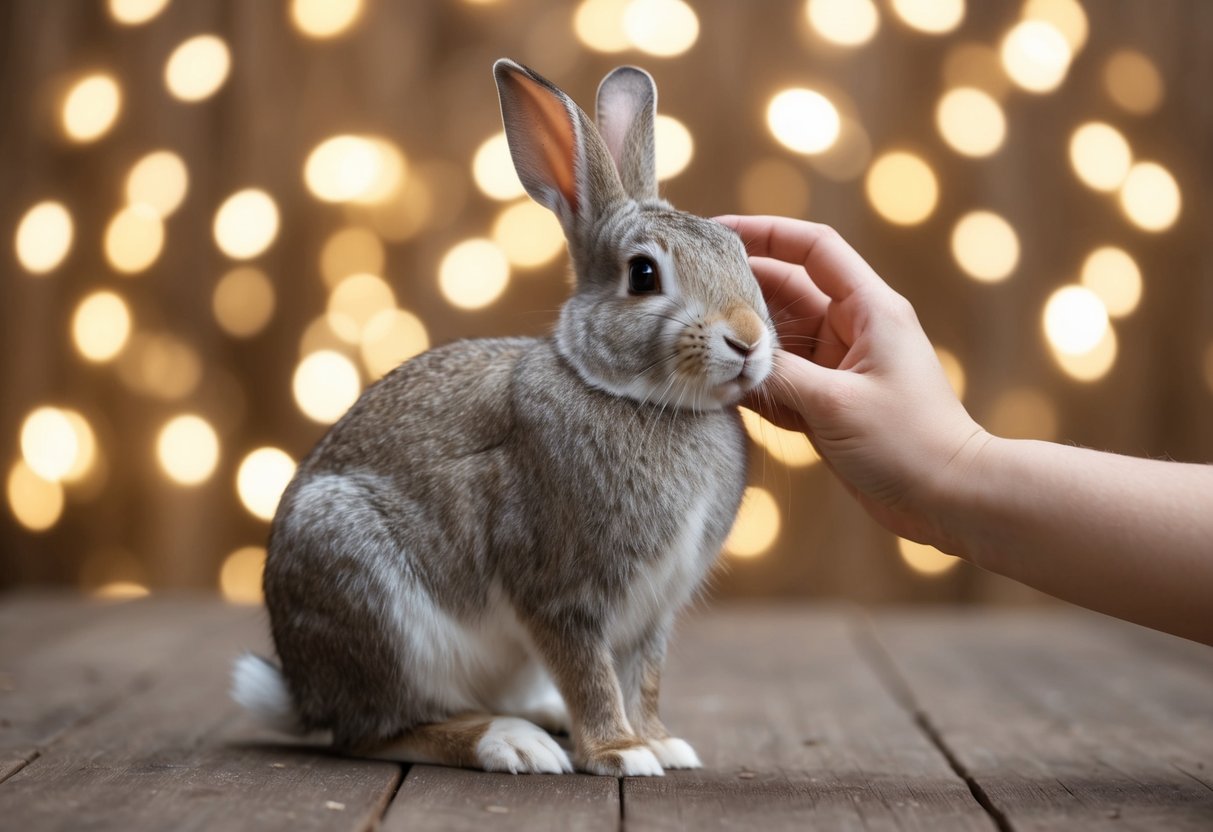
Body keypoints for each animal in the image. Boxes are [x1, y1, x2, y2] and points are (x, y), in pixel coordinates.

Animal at [231, 58, 775, 777]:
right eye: (643, 274)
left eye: (740, 255)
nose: (747, 341)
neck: (632, 397)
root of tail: (304, 692)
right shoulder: (560, 595)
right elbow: (591, 677)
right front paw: (622, 753)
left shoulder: (654, 612)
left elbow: (644, 679)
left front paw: (661, 743)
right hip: (369, 598)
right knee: (377, 732)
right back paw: (511, 742)